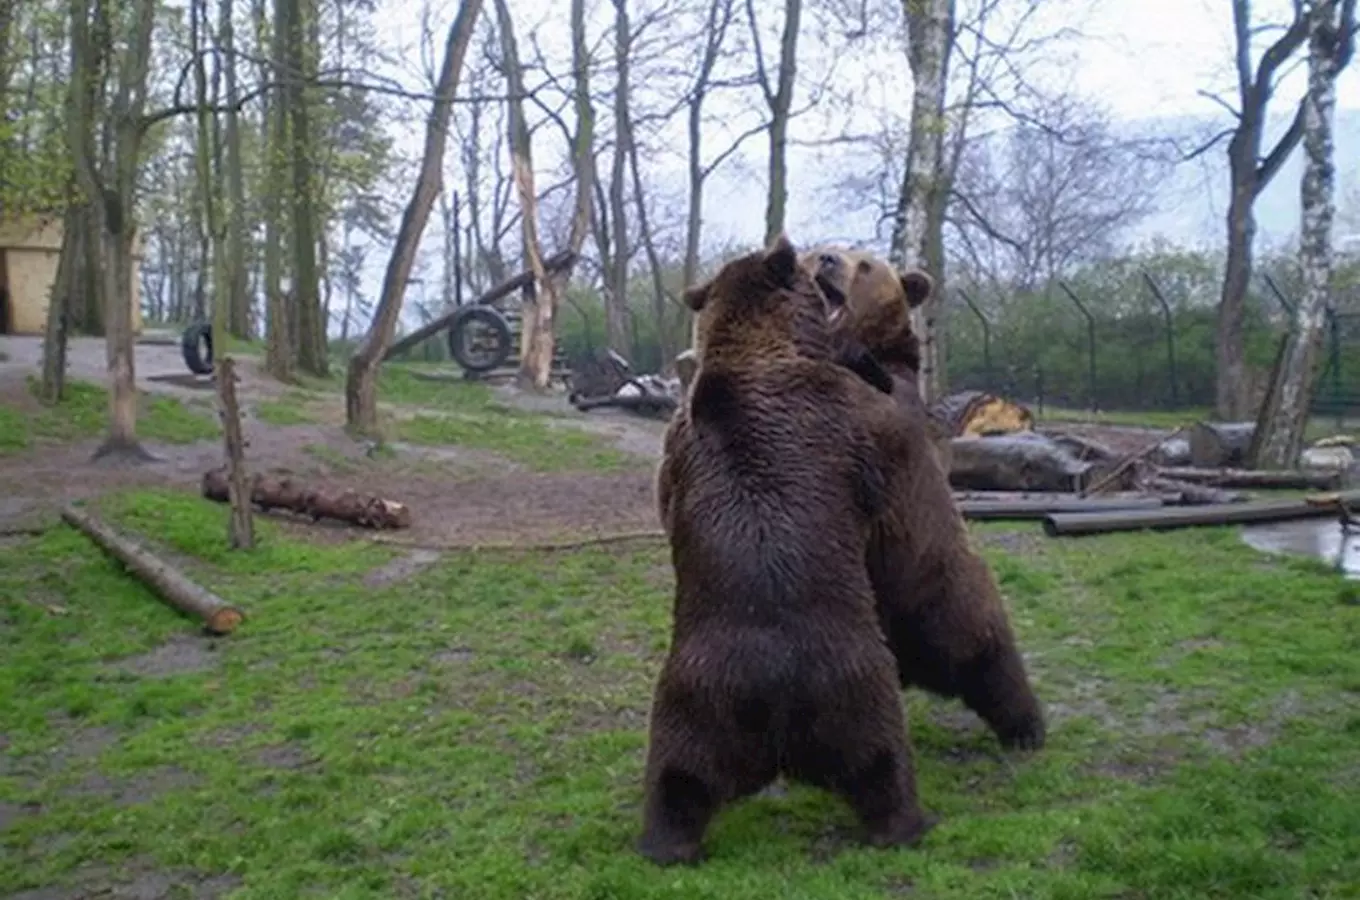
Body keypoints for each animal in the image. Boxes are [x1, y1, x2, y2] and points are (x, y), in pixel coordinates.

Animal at [641, 236, 941, 870]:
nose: (820, 257)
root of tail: (772, 705)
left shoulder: (678, 445)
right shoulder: (838, 420)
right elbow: (874, 466)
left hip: (706, 702)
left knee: (679, 778)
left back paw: (665, 842)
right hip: (848, 684)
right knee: (883, 759)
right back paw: (908, 823)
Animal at [794, 244, 1044, 755]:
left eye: (864, 263)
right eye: (816, 251)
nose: (827, 260)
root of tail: (912, 665)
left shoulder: (892, 410)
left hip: (944, 589)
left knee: (994, 661)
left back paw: (1027, 729)